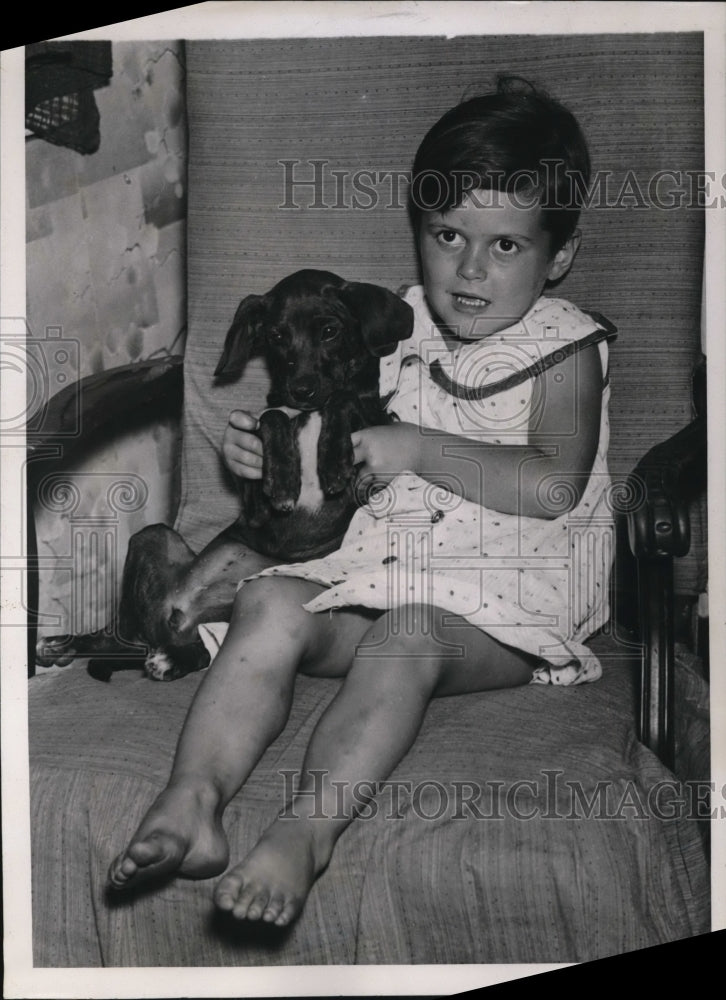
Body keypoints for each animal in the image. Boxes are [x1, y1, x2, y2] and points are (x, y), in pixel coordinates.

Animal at [37, 272, 412, 680]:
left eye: (330, 331)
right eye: (276, 336)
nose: (300, 390)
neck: (310, 413)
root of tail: (179, 620)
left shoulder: (375, 426)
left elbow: (343, 400)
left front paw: (331, 460)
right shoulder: (255, 504)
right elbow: (271, 416)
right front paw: (283, 477)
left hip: (228, 614)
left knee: (193, 653)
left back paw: (168, 660)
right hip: (152, 538)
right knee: (124, 636)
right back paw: (65, 645)